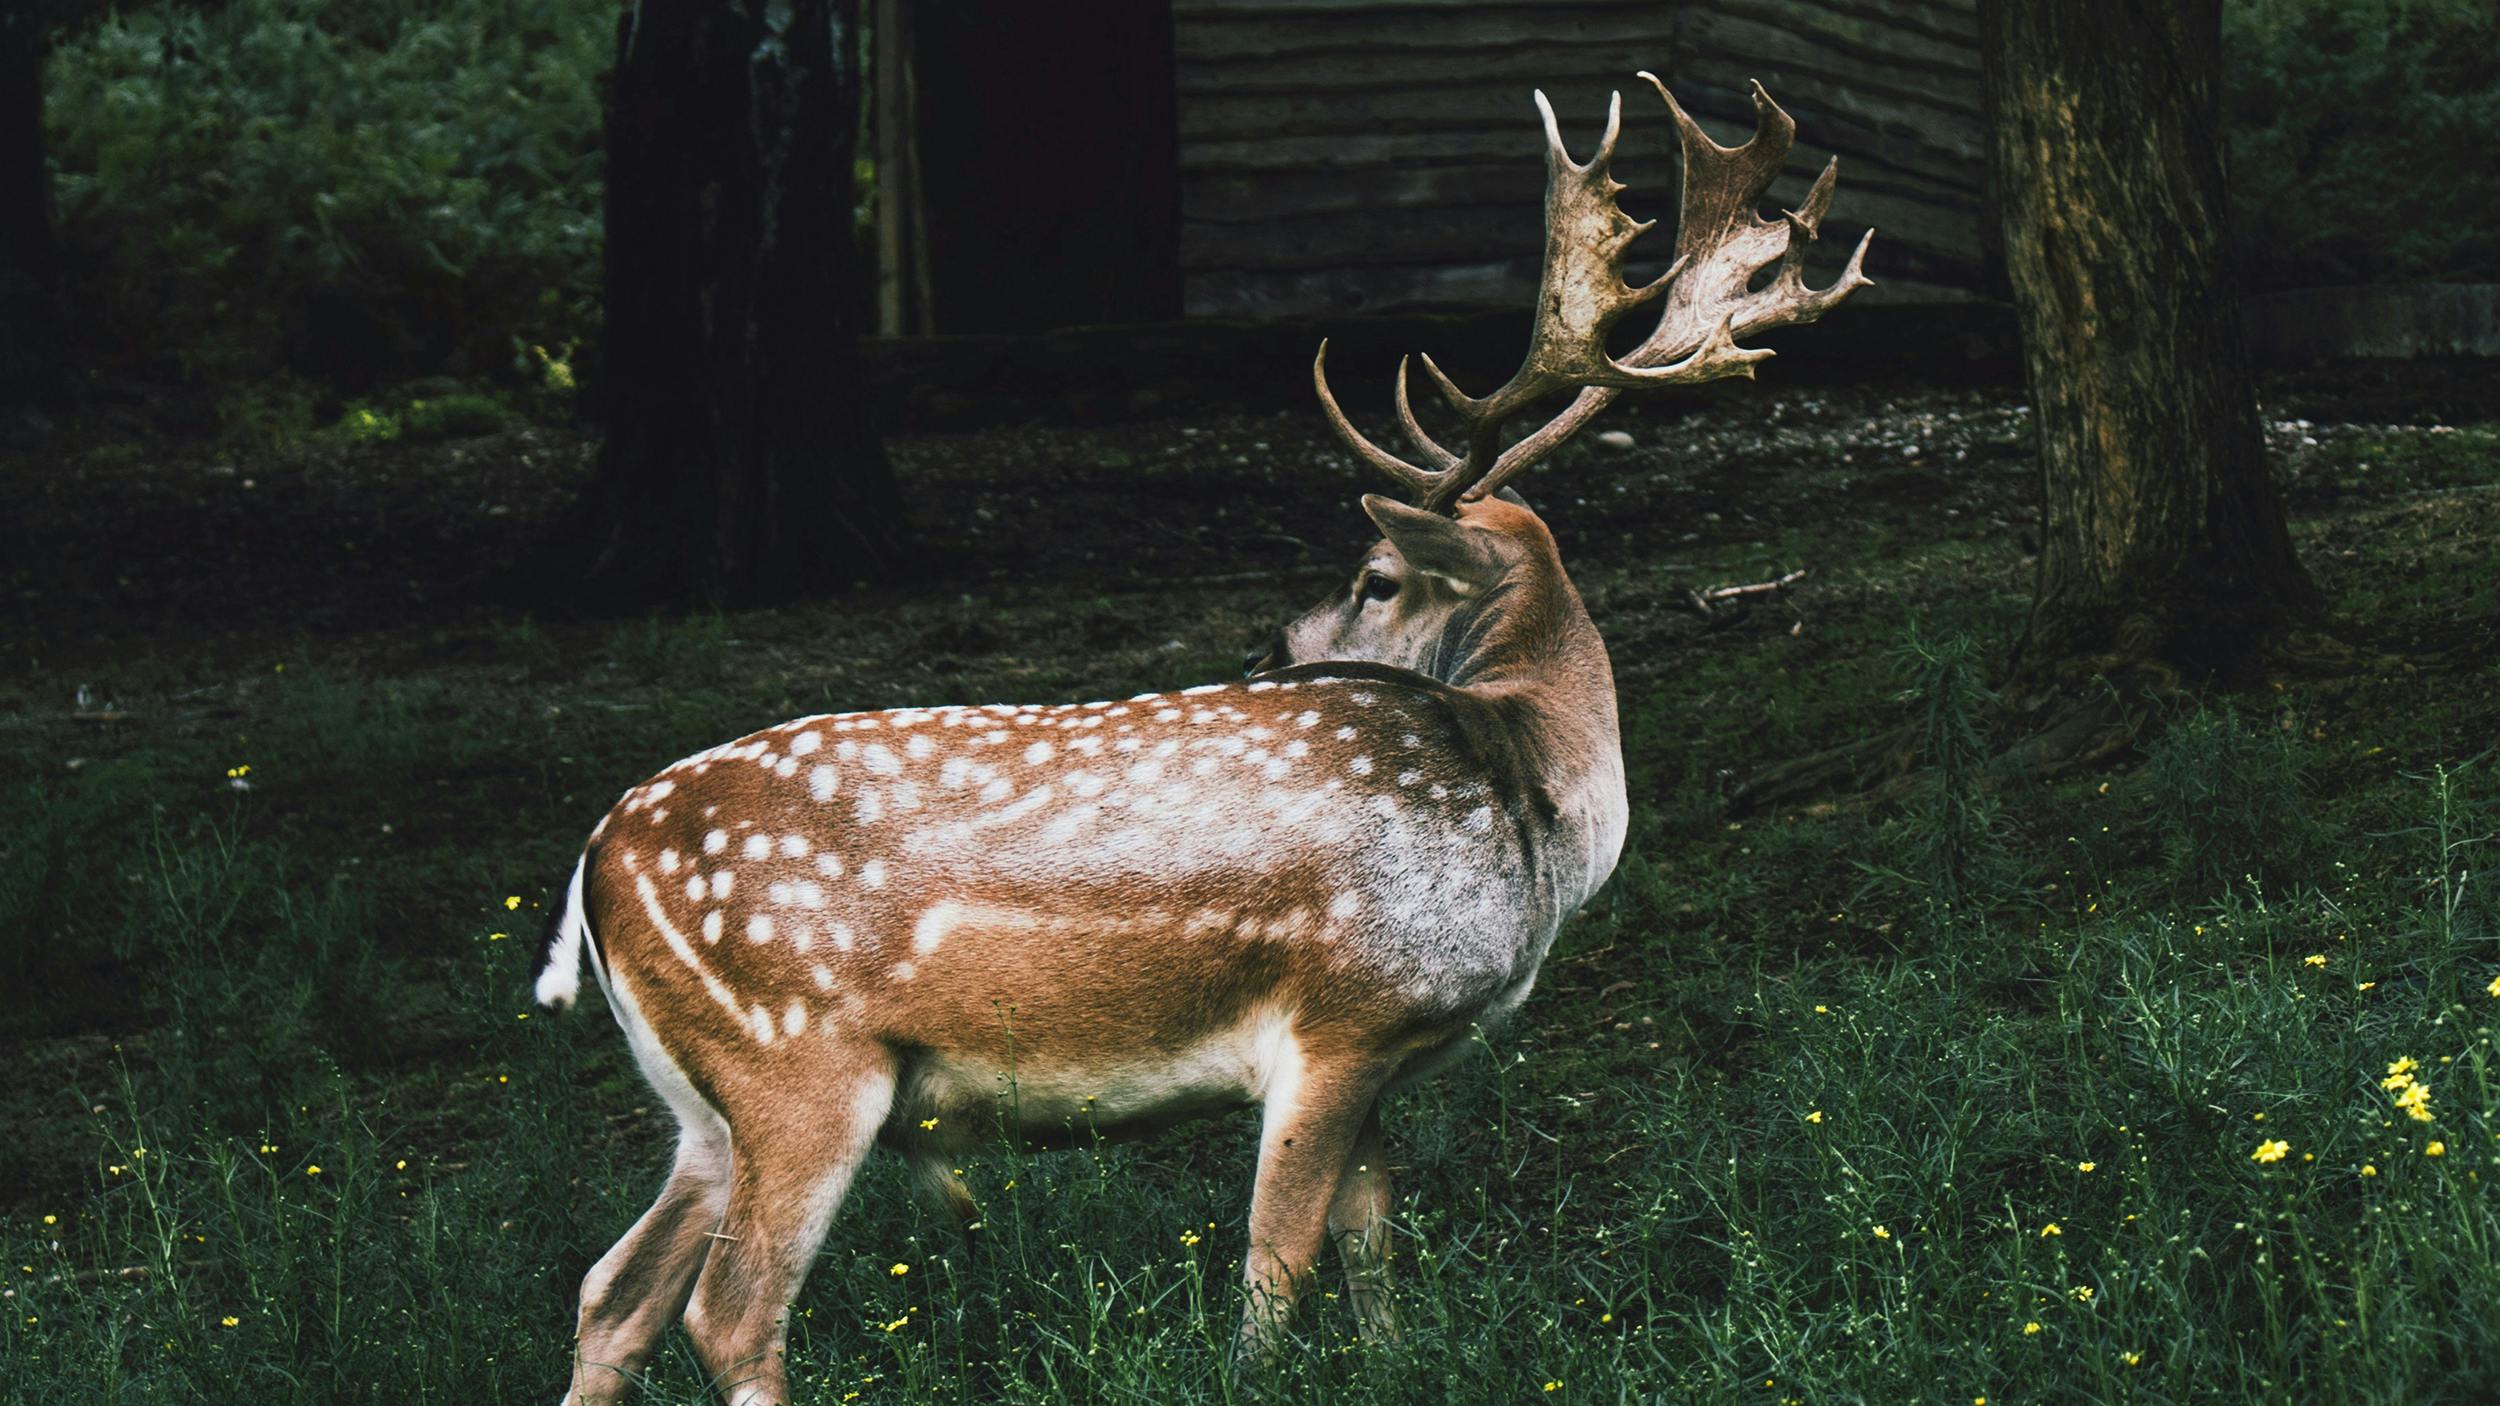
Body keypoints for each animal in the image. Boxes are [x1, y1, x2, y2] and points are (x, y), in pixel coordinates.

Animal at [542, 76, 1880, 1400]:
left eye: (1376, 577)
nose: (1279, 648)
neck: (1530, 811)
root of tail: (594, 862)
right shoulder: (1345, 1009)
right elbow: (1275, 1259)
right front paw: (1253, 1372)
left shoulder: (1378, 1048)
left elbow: (1371, 1238)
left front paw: (1392, 1359)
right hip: (794, 1062)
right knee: (730, 1308)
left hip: (705, 1107)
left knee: (613, 1291)